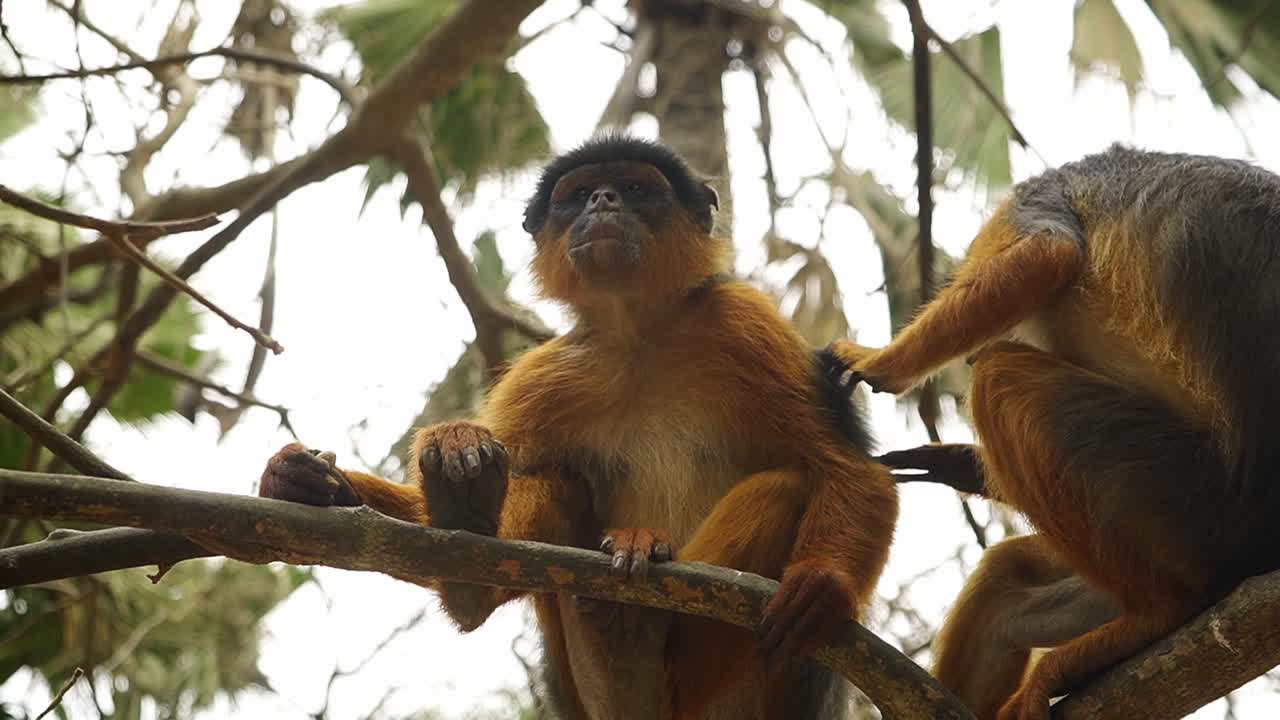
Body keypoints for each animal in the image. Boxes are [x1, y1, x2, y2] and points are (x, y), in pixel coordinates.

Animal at [258, 135, 898, 720]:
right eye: (578, 195)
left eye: (635, 188)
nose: (604, 201)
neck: (640, 337)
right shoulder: (545, 374)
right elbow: (408, 528)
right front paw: (304, 483)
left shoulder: (743, 323)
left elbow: (848, 469)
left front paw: (824, 584)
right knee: (557, 481)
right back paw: (473, 553)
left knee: (784, 488)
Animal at [827, 144, 1280, 720]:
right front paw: (956, 463)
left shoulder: (1032, 197)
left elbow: (1049, 253)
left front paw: (877, 363)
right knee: (1008, 580)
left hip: (1195, 501)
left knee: (1000, 377)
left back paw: (1158, 614)